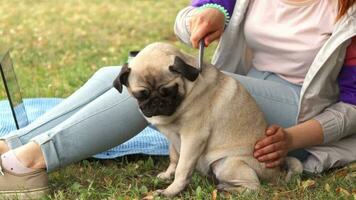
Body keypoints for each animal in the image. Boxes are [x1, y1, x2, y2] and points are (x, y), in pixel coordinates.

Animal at [112, 42, 302, 197]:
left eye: (169, 91)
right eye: (141, 95)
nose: (156, 101)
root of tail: (277, 174)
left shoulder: (193, 138)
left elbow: (182, 169)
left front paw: (171, 191)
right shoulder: (173, 139)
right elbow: (174, 158)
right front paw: (167, 175)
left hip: (227, 163)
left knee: (254, 187)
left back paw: (226, 189)